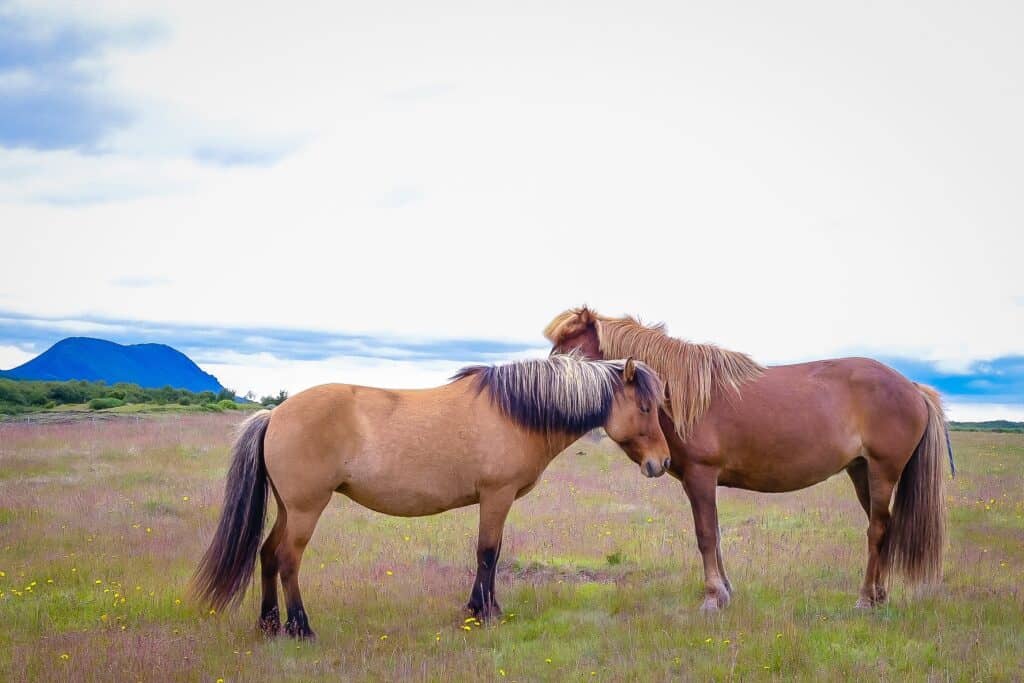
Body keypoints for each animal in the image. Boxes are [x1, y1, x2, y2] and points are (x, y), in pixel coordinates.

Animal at [192, 356, 667, 638]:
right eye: (645, 407)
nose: (661, 463)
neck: (514, 412)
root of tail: (275, 414)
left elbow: (492, 554)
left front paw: (488, 608)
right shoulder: (496, 496)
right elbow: (487, 554)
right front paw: (481, 613)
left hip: (288, 508)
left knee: (268, 554)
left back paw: (269, 624)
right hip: (307, 508)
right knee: (289, 559)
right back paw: (301, 627)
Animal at [548, 307, 954, 610]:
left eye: (570, 352)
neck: (681, 396)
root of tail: (913, 387)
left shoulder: (701, 476)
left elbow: (705, 535)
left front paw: (712, 598)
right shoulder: (700, 482)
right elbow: (716, 535)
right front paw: (726, 592)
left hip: (884, 471)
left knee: (877, 531)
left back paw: (866, 600)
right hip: (861, 472)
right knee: (882, 527)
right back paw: (880, 595)